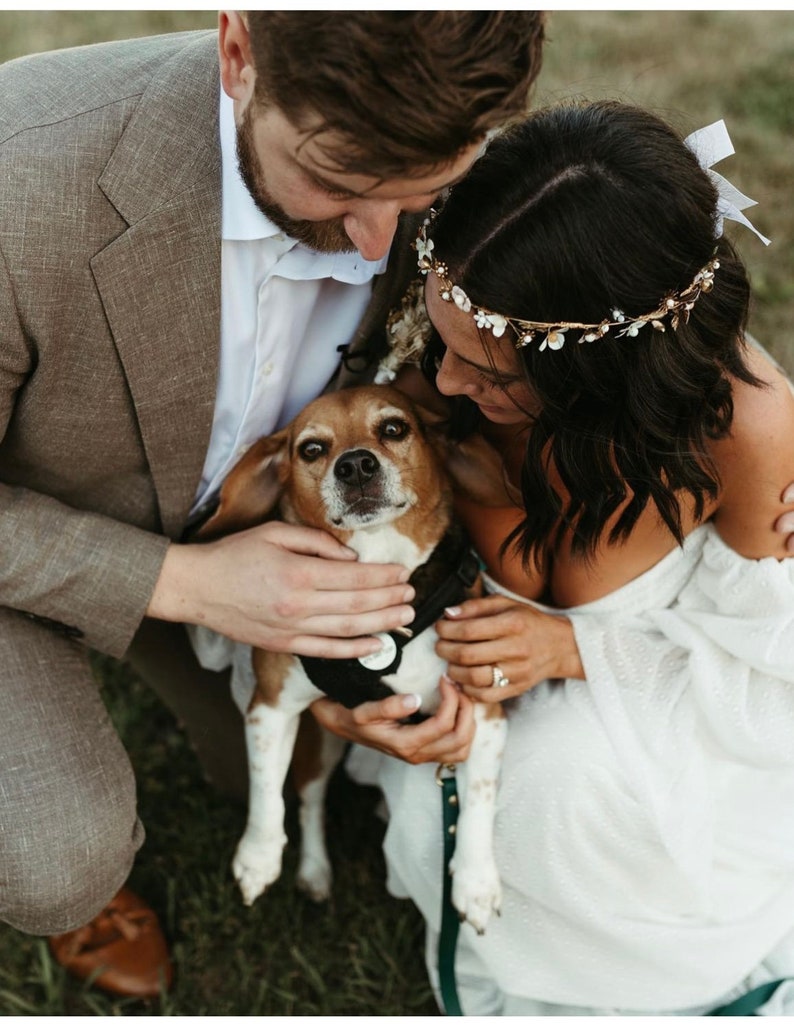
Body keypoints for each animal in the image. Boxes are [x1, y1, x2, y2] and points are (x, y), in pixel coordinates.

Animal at [201, 383, 510, 931]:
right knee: (310, 799)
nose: (356, 466)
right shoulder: (270, 708)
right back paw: (314, 870)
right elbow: (266, 790)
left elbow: (477, 798)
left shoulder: (485, 711)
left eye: (393, 428)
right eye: (311, 449)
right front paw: (258, 857)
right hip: (322, 742)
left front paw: (475, 883)